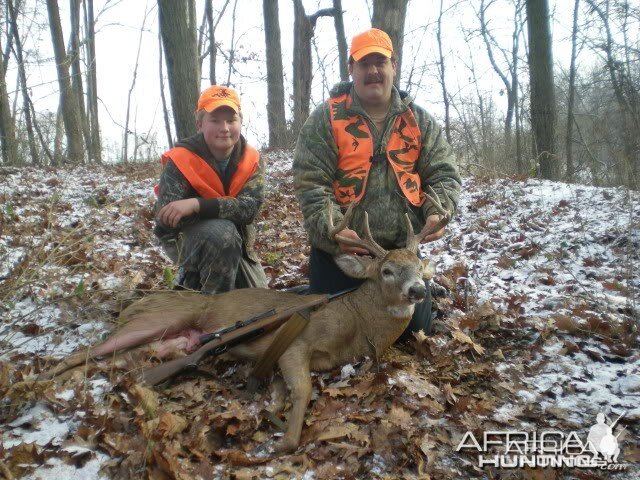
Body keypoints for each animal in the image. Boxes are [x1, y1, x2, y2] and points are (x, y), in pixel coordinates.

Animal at [40, 192, 452, 454]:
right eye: (386, 270)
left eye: (420, 267)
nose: (418, 290)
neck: (357, 323)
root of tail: (133, 305)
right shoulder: (297, 344)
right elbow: (303, 393)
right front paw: (282, 443)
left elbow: (283, 394)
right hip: (159, 319)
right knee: (82, 352)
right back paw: (40, 384)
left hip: (160, 345)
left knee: (104, 361)